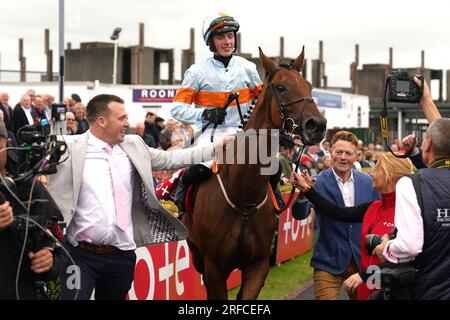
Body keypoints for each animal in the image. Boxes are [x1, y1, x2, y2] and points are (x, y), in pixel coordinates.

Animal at [185, 47, 326, 300]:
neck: (243, 197)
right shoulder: (214, 266)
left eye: (309, 86)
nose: (317, 125)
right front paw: (213, 114)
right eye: (281, 87)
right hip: (197, 254)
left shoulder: (258, 265)